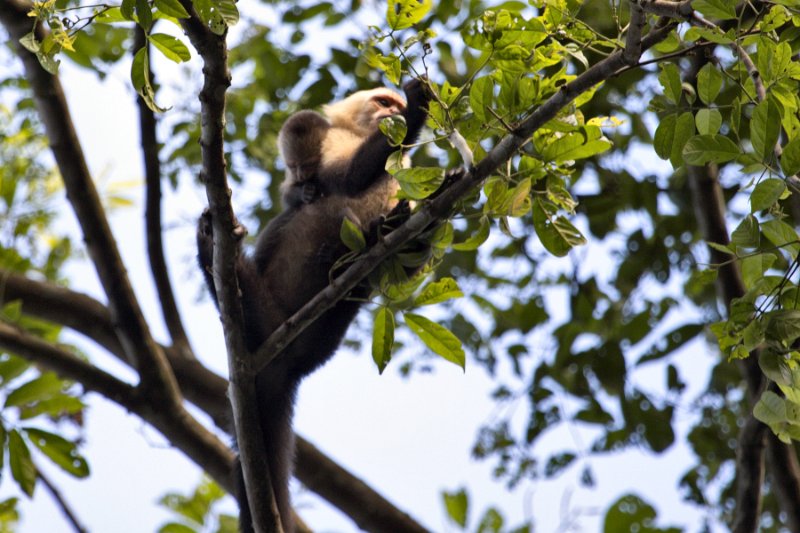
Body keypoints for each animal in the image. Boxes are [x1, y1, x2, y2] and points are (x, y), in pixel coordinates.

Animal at [196, 80, 432, 532]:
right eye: (383, 102)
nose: (392, 112)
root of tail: (278, 366)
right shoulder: (334, 144)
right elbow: (345, 179)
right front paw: (418, 107)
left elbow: (405, 266)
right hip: (264, 314)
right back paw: (216, 253)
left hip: (319, 341)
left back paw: (371, 243)